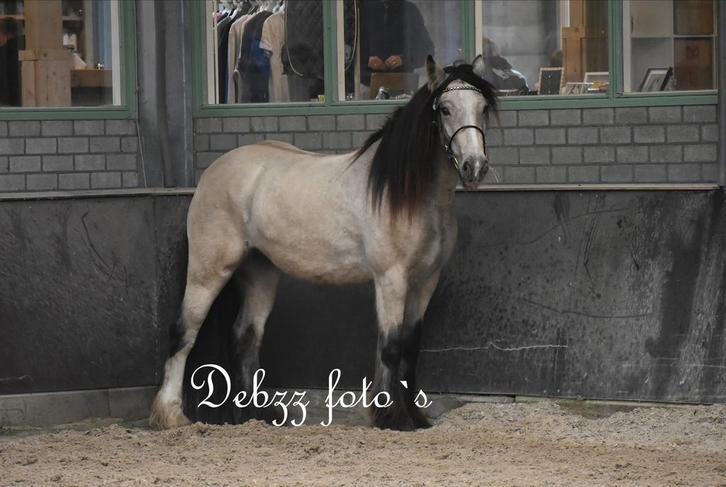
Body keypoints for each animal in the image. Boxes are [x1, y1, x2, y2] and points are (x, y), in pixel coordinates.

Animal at [150, 55, 498, 431]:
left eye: (481, 107)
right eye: (445, 109)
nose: (474, 167)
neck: (407, 195)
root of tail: (213, 173)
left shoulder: (425, 282)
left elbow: (410, 347)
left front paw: (414, 416)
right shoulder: (391, 279)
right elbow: (391, 346)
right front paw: (393, 418)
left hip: (260, 271)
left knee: (246, 335)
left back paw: (257, 414)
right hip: (209, 269)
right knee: (185, 331)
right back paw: (170, 414)